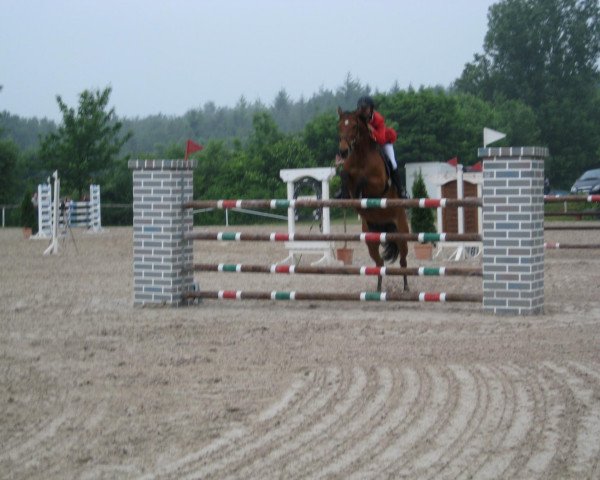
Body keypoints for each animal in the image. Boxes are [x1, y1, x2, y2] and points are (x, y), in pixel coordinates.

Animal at [336, 107, 410, 290]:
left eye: (354, 126)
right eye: (339, 126)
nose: (343, 151)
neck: (361, 156)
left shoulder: (379, 184)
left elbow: (364, 181)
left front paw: (361, 189)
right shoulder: (348, 175)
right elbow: (344, 175)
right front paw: (344, 192)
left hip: (402, 234)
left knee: (403, 261)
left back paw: (406, 287)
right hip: (371, 239)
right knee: (380, 263)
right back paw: (378, 289)